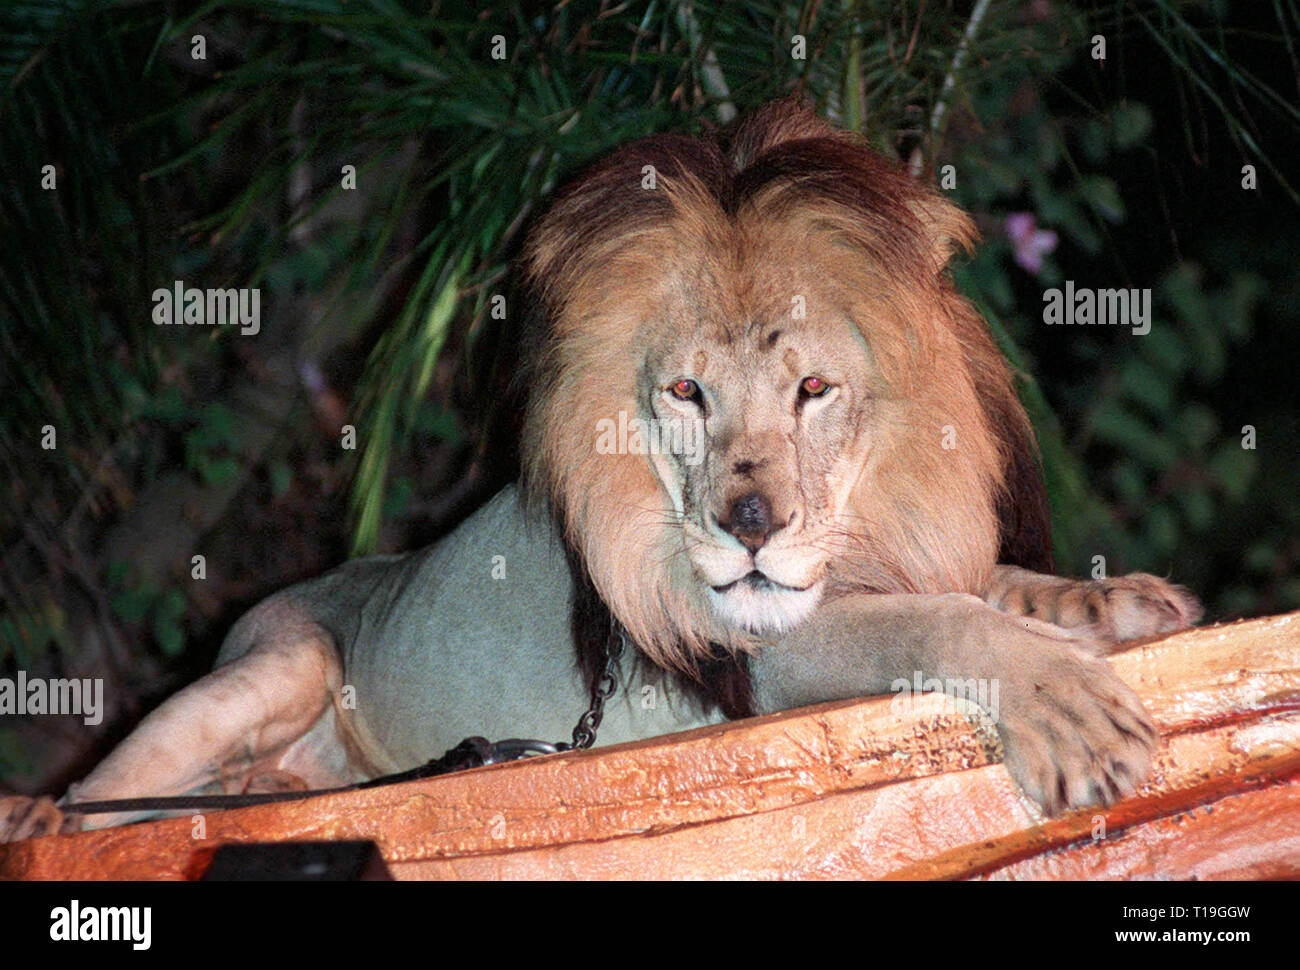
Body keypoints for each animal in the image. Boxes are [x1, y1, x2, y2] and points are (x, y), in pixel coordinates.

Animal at [0, 100, 1196, 837]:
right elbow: (941, 621)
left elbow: (995, 585)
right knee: (108, 789)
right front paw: (1070, 708)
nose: (751, 522)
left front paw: (1116, 602)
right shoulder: (756, 656)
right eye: (687, 392)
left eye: (812, 388)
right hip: (275, 666)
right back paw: (43, 813)